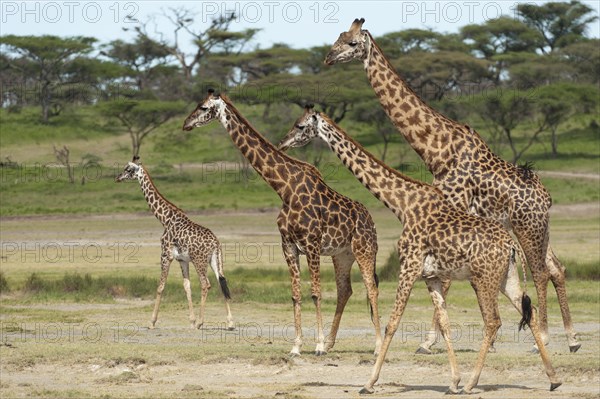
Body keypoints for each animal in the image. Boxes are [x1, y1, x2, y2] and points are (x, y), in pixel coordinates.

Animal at [115, 156, 234, 332]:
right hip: (216, 260)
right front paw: (191, 321)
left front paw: (152, 322)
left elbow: (160, 286)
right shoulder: (182, 259)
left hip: (200, 261)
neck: (165, 219)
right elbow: (187, 286)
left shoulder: (165, 255)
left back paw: (201, 322)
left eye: (128, 169)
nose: (117, 178)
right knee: (222, 282)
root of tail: (215, 243)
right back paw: (230, 323)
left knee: (206, 284)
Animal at [180, 90, 382, 356]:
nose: (186, 123)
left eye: (203, 107)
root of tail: (371, 220)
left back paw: (377, 345)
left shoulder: (312, 244)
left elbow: (316, 293)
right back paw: (332, 342)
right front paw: (297, 346)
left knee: (371, 287)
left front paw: (317, 346)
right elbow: (296, 295)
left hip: (364, 250)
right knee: (345, 289)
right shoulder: (288, 245)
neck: (284, 189)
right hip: (342, 255)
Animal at [278, 104, 560, 396]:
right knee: (529, 312)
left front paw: (369, 383)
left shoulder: (408, 267)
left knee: (493, 321)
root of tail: (512, 246)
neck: (401, 205)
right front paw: (452, 381)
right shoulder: (431, 276)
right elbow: (445, 324)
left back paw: (473, 383)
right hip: (507, 277)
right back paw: (552, 378)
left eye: (300, 126)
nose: (283, 143)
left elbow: (393, 323)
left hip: (485, 279)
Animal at [326, 17, 580, 354]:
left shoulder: (454, 209)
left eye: (352, 43)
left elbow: (445, 281)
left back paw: (546, 337)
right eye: (339, 36)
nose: (328, 58)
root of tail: (547, 197)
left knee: (540, 271)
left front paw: (428, 341)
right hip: (539, 228)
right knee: (556, 268)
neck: (436, 149)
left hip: (528, 226)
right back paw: (572, 339)